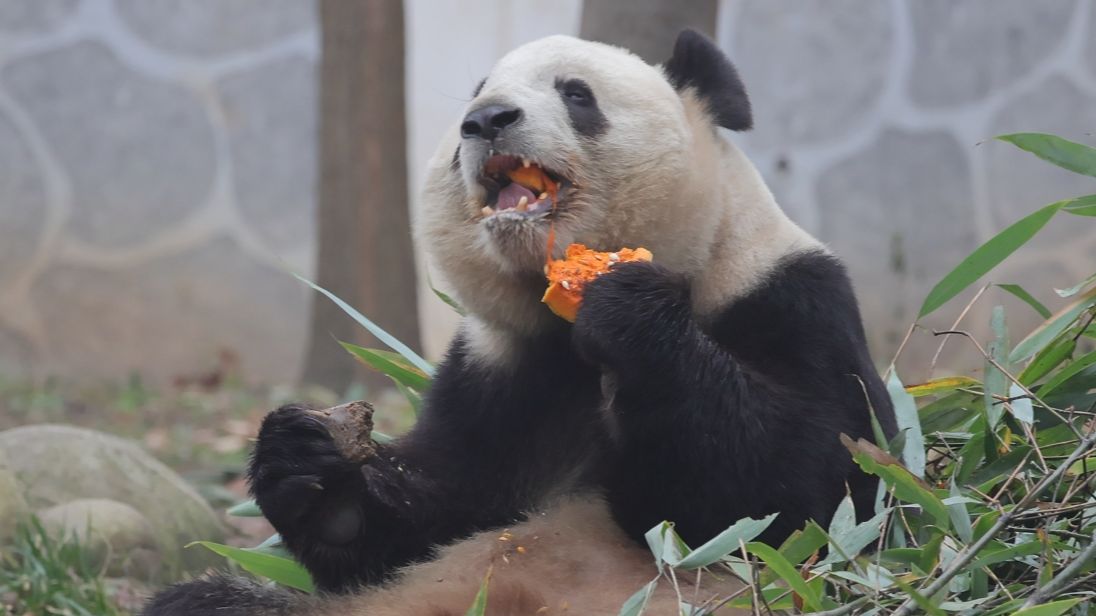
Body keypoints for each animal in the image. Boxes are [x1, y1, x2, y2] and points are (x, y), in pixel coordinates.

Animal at [145, 30, 894, 613]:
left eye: (577, 94)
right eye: (479, 90)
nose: (487, 119)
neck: (559, 324)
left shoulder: (789, 299)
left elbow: (805, 494)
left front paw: (629, 310)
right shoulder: (501, 372)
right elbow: (431, 513)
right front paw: (310, 462)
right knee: (202, 603)